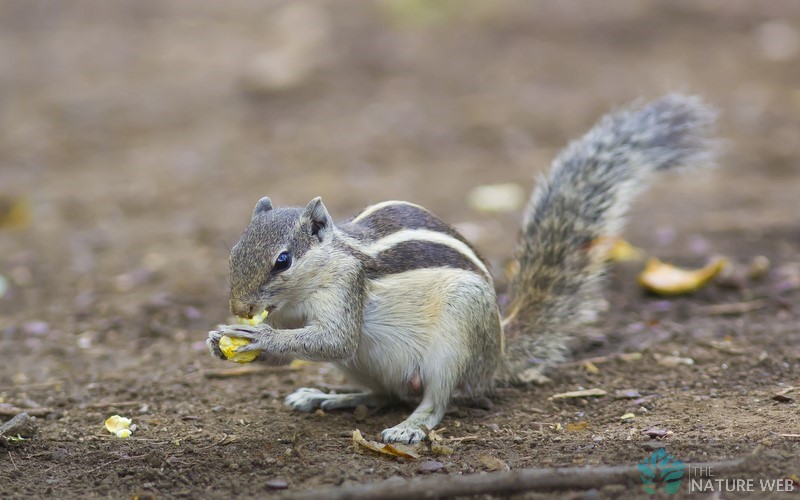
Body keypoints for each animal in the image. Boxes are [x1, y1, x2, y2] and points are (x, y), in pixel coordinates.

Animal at [206, 94, 712, 446]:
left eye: (283, 260)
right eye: (234, 251)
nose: (240, 306)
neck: (325, 265)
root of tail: (498, 354)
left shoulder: (348, 289)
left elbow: (334, 338)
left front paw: (257, 336)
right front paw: (220, 337)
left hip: (456, 336)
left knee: (434, 399)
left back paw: (410, 427)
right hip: (365, 366)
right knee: (384, 395)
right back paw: (325, 397)